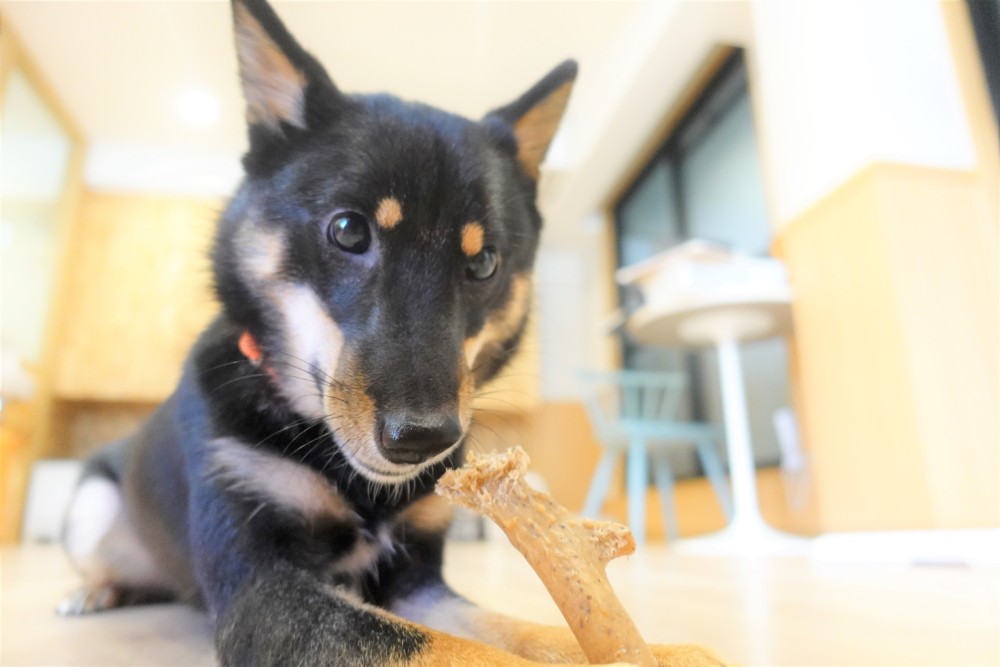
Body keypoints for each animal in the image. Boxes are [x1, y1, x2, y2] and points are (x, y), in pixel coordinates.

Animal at [59, 1, 723, 665]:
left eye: (484, 263)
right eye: (349, 230)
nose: (423, 440)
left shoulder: (417, 582)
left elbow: (518, 631)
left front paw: (671, 651)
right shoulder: (263, 591)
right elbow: (451, 650)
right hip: (91, 506)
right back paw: (96, 591)